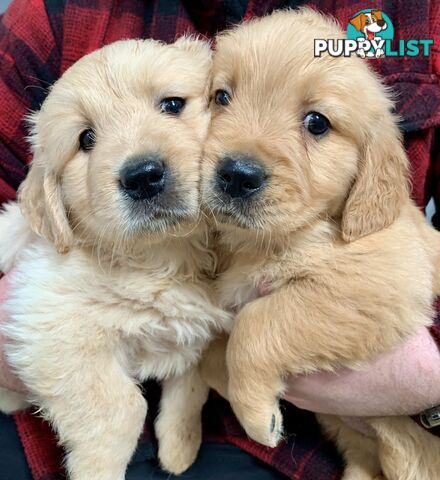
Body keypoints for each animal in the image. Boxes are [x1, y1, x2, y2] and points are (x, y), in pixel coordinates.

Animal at [0, 38, 232, 480]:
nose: (143, 176)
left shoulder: (200, 331)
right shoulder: (49, 319)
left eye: (172, 104)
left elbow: (189, 388)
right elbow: (120, 408)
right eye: (86, 138)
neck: (165, 256)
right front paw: (98, 469)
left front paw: (179, 446)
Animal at [202, 8, 440, 480]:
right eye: (221, 96)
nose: (236, 175)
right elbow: (208, 354)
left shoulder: (376, 286)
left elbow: (255, 324)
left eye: (317, 123)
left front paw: (255, 414)